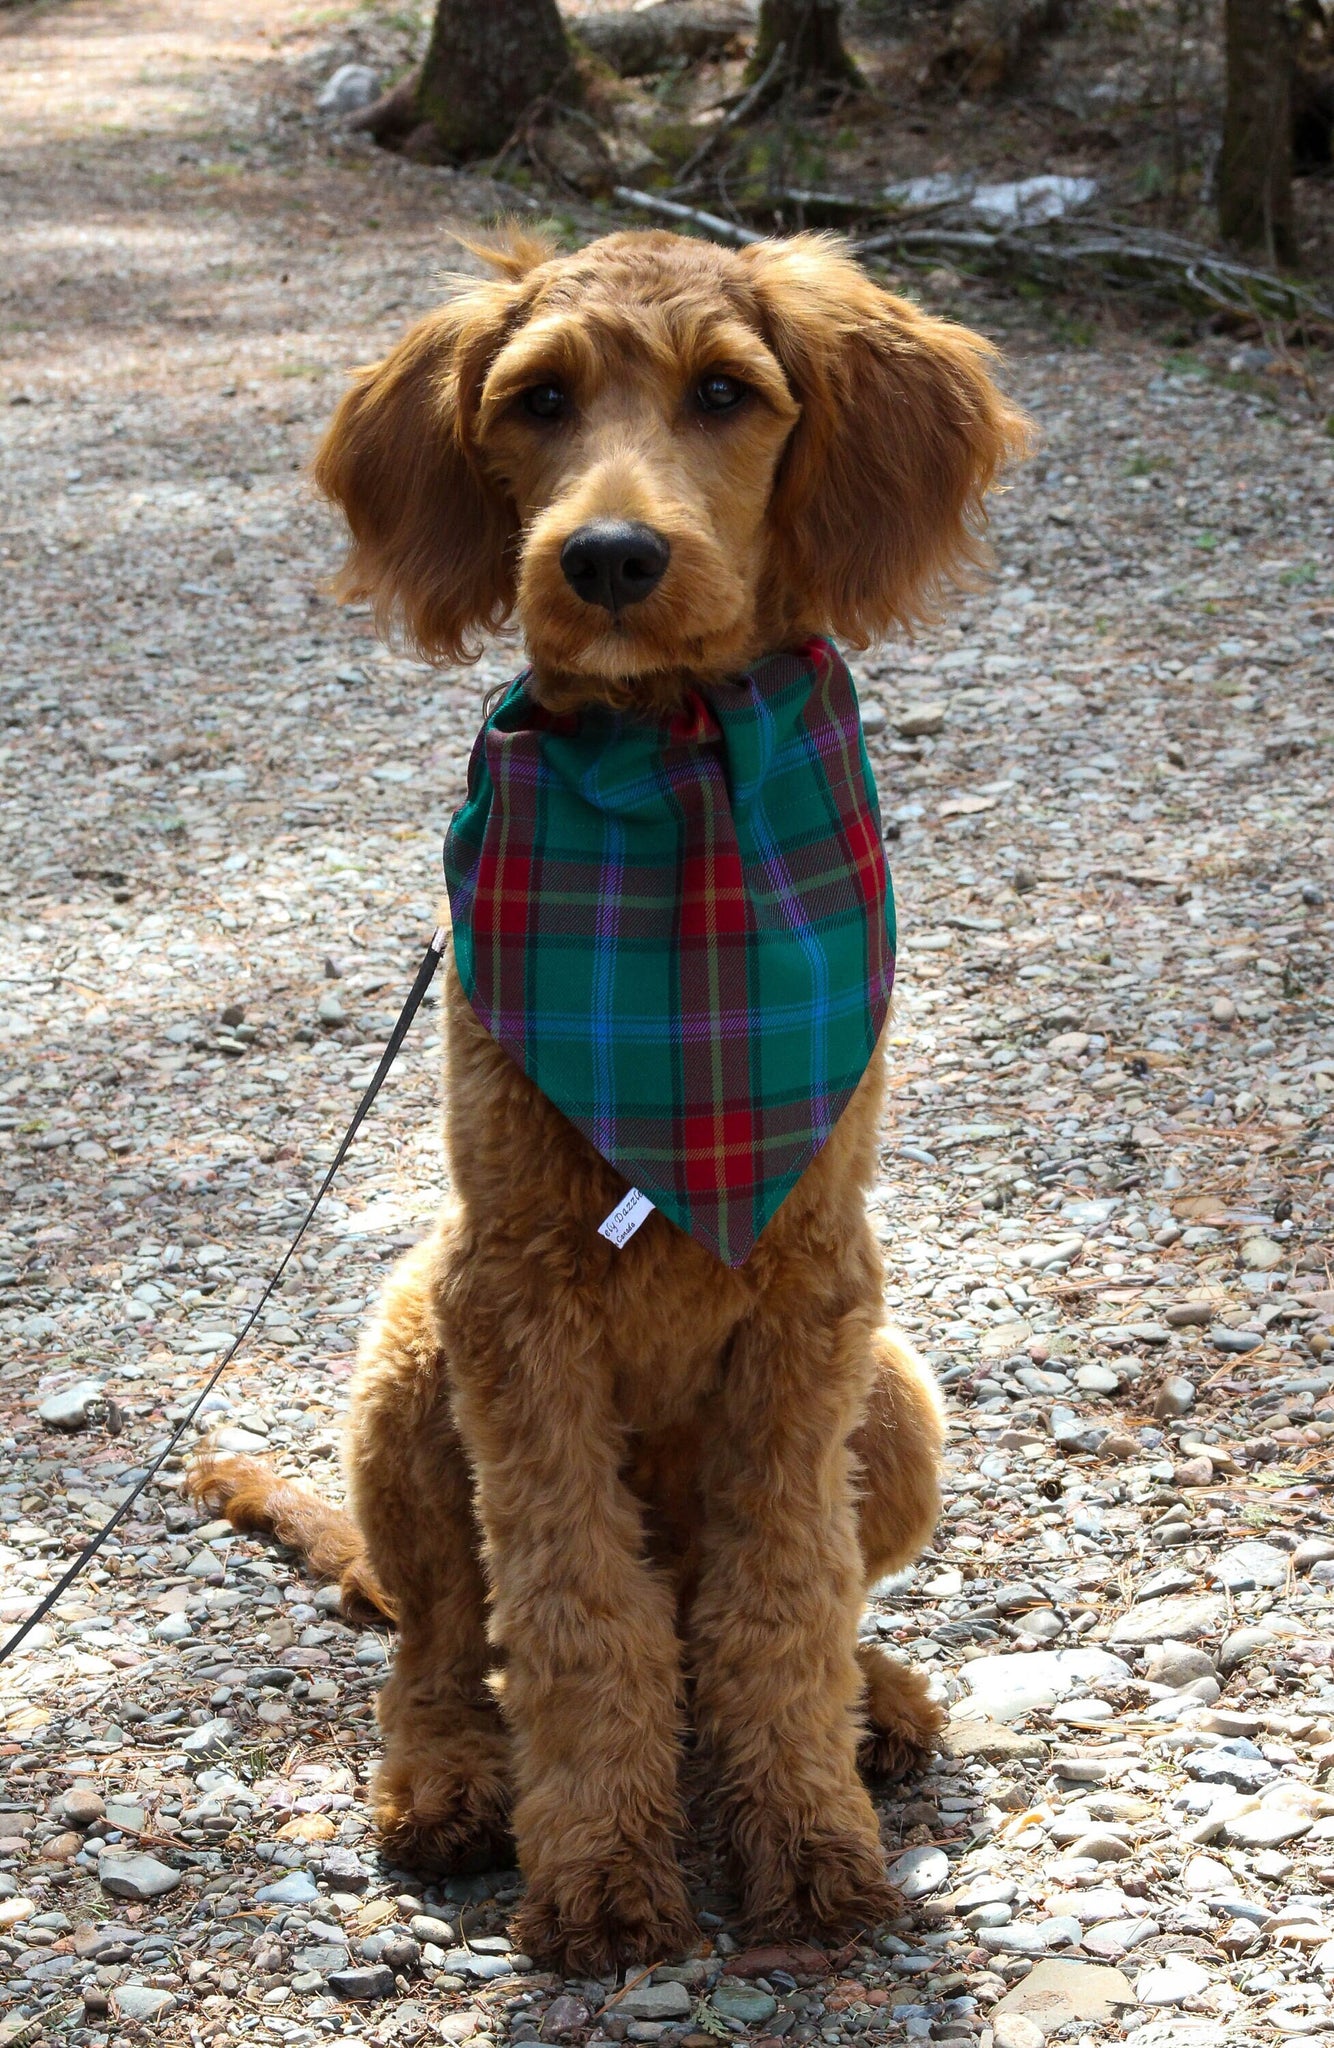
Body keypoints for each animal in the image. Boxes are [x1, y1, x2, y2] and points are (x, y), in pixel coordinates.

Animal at [187, 224, 1028, 1966]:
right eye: (537, 401)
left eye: (724, 394)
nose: (612, 560)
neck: (669, 774)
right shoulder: (514, 1293)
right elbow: (574, 1612)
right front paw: (599, 1877)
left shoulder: (812, 1288)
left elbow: (784, 1599)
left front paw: (806, 1844)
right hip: (407, 1359)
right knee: (444, 1639)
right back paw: (449, 1780)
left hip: (896, 1397)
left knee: (769, 1610)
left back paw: (877, 1702)